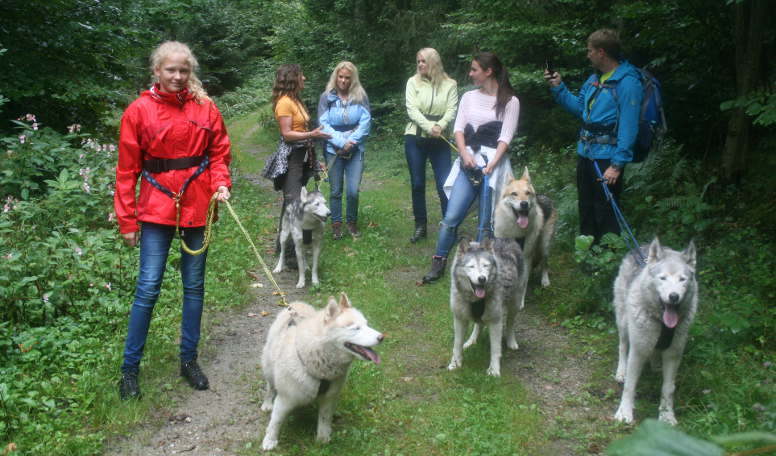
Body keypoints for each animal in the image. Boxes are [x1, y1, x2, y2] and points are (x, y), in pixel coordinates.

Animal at [260, 294, 382, 450]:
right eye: (356, 328)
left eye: (366, 324)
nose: (382, 337)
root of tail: (296, 304)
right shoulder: (285, 398)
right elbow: (275, 422)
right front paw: (270, 440)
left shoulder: (329, 398)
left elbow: (324, 419)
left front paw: (323, 439)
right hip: (269, 368)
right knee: (270, 387)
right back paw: (267, 403)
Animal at [446, 237, 524, 376]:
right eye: (471, 266)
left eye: (486, 265)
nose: (482, 278)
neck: (475, 300)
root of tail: (505, 238)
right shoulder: (459, 318)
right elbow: (457, 344)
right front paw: (455, 363)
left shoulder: (495, 321)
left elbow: (495, 348)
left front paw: (494, 370)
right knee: (478, 324)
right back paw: (471, 340)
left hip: (515, 303)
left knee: (510, 323)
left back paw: (511, 341)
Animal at [494, 166, 556, 308]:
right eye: (514, 194)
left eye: (527, 193)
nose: (524, 204)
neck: (515, 232)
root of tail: (544, 196)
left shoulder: (526, 256)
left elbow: (523, 282)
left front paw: (519, 301)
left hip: (544, 245)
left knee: (545, 263)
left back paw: (545, 280)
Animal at [616, 237, 700, 426]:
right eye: (663, 278)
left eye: (682, 279)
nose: (674, 296)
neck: (662, 323)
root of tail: (642, 246)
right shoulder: (637, 351)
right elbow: (630, 386)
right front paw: (624, 412)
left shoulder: (674, 354)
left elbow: (668, 389)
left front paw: (666, 415)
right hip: (624, 324)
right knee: (622, 346)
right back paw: (621, 372)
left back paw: (655, 365)